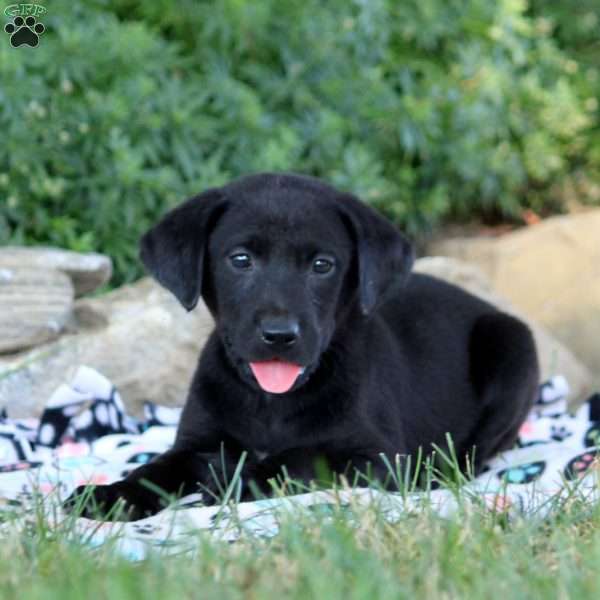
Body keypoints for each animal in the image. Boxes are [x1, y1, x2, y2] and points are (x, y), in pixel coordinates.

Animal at [65, 173, 540, 520]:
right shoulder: (196, 443)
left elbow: (304, 458)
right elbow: (155, 469)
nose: (279, 334)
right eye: (240, 260)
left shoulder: (378, 457)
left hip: (512, 346)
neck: (270, 403)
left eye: (322, 265)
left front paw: (240, 480)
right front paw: (111, 496)